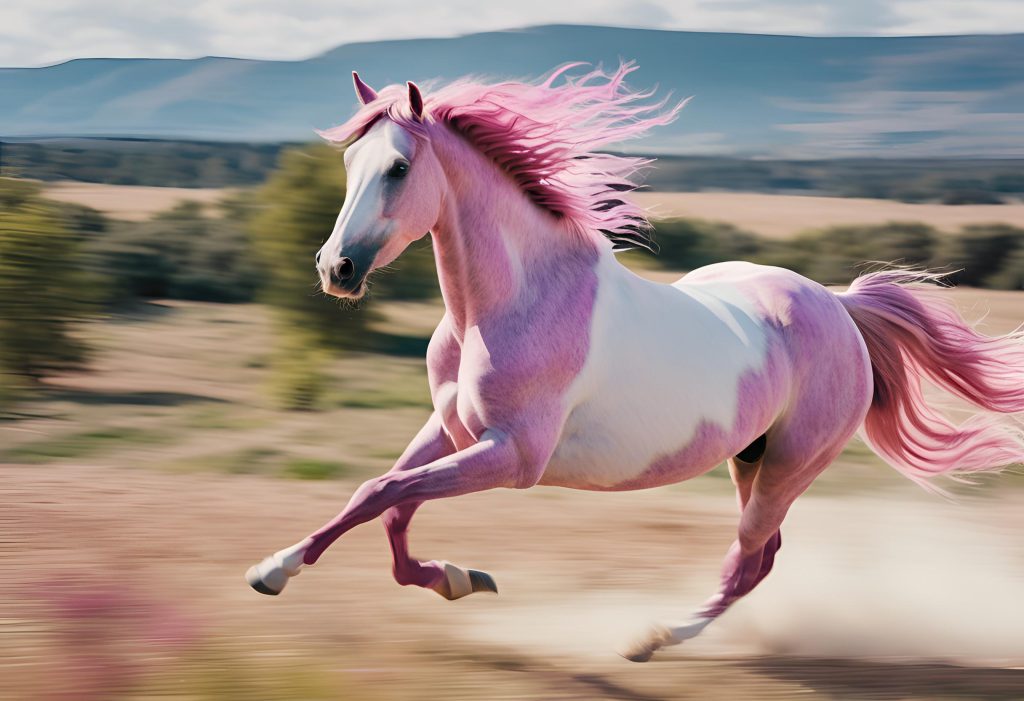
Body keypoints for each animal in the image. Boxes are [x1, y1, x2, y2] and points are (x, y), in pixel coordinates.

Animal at [247, 62, 1024, 659]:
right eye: (349, 163)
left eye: (399, 168)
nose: (337, 269)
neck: (510, 305)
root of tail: (839, 307)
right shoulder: (452, 430)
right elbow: (382, 500)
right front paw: (456, 577)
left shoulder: (511, 457)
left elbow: (384, 493)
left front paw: (275, 570)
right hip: (749, 458)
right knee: (763, 555)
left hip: (788, 466)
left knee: (749, 558)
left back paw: (654, 637)